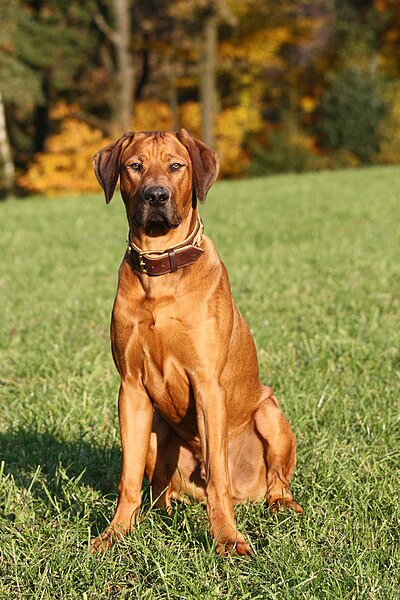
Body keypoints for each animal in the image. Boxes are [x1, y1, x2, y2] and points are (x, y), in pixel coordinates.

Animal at [90, 129, 302, 556]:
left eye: (176, 165)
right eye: (134, 166)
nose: (156, 196)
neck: (160, 272)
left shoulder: (207, 384)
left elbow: (218, 476)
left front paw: (228, 539)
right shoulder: (131, 389)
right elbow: (128, 477)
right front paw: (115, 534)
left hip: (270, 413)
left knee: (272, 480)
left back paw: (281, 504)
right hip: (156, 426)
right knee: (159, 488)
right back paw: (161, 513)